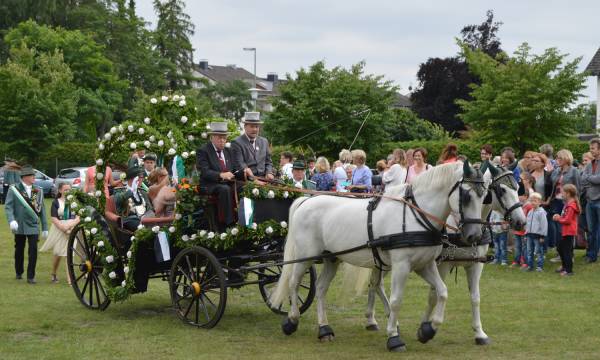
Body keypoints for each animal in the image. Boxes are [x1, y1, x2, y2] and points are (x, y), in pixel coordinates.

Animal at [270, 162, 490, 352]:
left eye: (485, 196)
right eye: (467, 196)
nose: (475, 236)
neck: (415, 216)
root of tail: (307, 200)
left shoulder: (424, 265)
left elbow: (442, 292)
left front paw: (427, 331)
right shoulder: (402, 265)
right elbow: (396, 300)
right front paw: (394, 337)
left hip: (332, 258)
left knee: (322, 288)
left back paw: (324, 329)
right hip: (305, 256)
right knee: (293, 282)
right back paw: (292, 321)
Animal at [360, 162, 524, 344]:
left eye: (517, 188)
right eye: (502, 190)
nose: (521, 221)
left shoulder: (475, 265)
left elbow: (475, 297)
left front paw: (479, 333)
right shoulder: (443, 264)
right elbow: (433, 295)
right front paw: (425, 327)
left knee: (375, 284)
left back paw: (376, 319)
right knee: (376, 284)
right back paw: (379, 320)